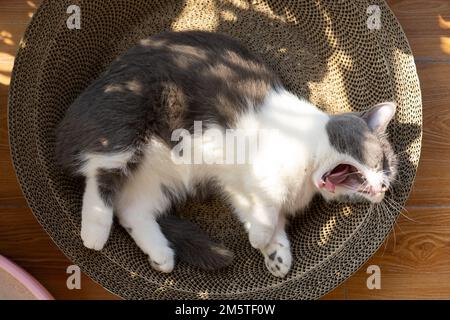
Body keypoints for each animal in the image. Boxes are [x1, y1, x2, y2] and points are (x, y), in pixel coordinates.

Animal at [55, 31, 398, 278]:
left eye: (389, 177)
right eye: (379, 159)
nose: (383, 188)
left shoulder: (240, 190)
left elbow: (265, 215)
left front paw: (277, 255)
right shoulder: (264, 170)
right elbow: (270, 205)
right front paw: (262, 239)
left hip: (159, 180)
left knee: (130, 208)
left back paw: (162, 255)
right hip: (126, 119)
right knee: (101, 172)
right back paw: (94, 231)